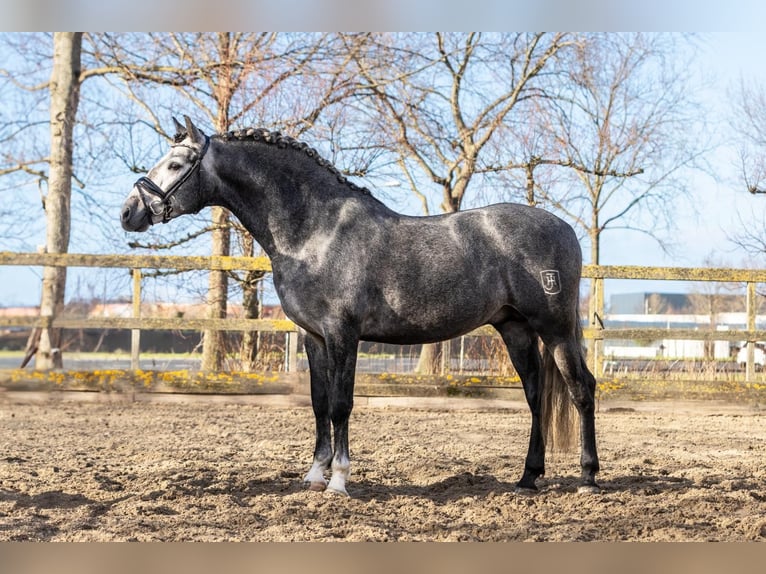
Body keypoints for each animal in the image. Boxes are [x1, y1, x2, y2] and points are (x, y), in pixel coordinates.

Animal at [121, 116, 600, 496]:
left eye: (176, 165)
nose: (129, 212)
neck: (315, 231)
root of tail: (565, 229)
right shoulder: (314, 337)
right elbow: (318, 403)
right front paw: (314, 475)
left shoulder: (342, 334)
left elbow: (341, 404)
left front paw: (338, 481)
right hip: (515, 328)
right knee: (536, 395)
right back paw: (528, 478)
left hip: (555, 328)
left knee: (580, 389)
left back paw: (588, 477)